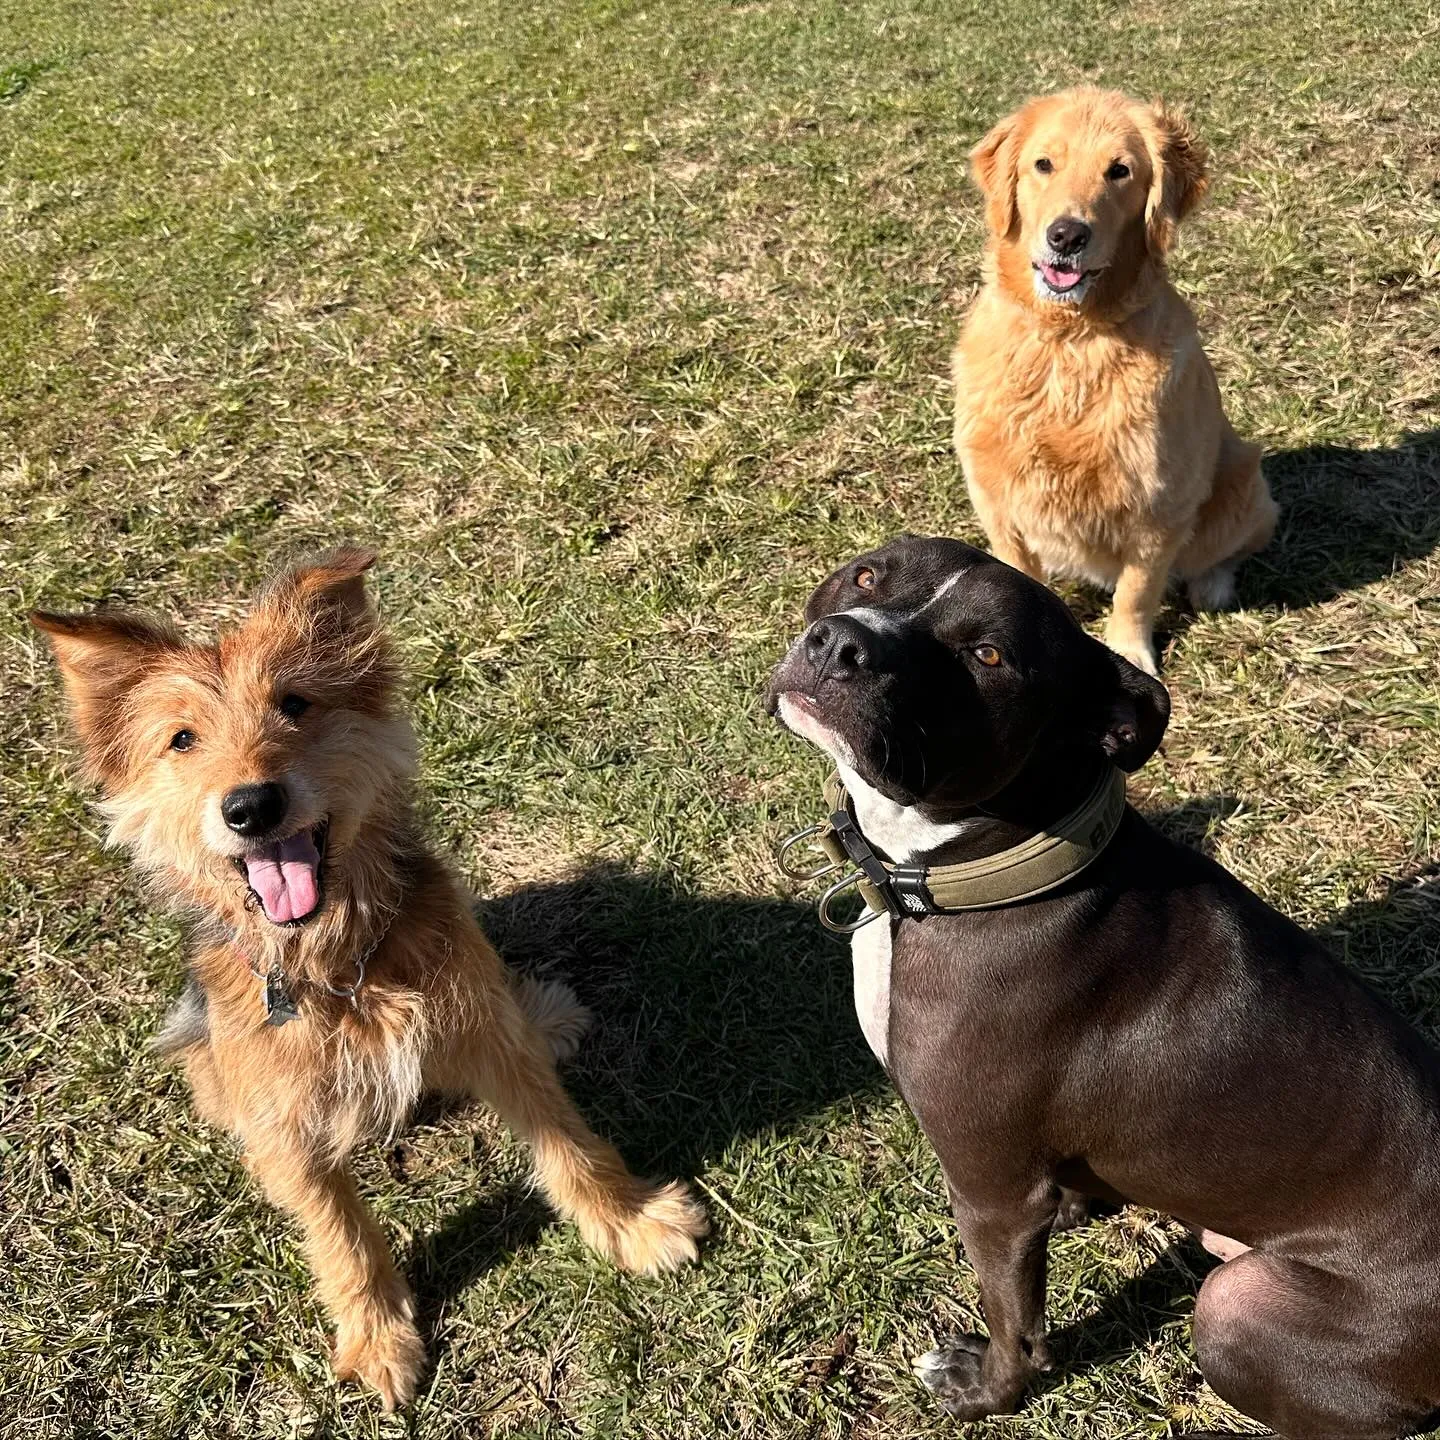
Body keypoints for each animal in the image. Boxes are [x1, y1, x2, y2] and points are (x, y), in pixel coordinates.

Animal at [30, 547, 705, 1405]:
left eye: (294, 704)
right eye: (181, 740)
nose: (251, 805)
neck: (340, 963)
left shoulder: (484, 1028)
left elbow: (570, 1142)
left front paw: (629, 1221)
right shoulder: (287, 1123)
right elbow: (338, 1231)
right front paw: (378, 1337)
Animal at [771, 535, 1440, 1434]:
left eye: (987, 657)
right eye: (868, 574)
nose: (843, 640)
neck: (988, 869)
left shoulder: (991, 1192)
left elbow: (1014, 1318)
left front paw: (987, 1393)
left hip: (1235, 1307)